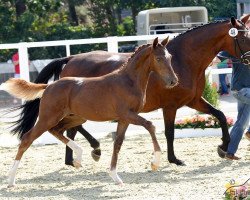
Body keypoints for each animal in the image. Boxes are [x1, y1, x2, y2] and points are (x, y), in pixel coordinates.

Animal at [1, 36, 178, 187]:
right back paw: (11, 180)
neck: (128, 81)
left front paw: (115, 177)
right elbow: (150, 125)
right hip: (48, 117)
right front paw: (155, 162)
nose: (173, 81)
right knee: (27, 138)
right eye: (158, 58)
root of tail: (49, 86)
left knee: (57, 130)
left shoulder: (124, 118)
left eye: (170, 57)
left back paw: (79, 157)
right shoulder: (128, 114)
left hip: (75, 117)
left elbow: (117, 144)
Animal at [8, 15, 250, 166]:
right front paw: (174, 159)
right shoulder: (170, 106)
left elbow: (220, 115)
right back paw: (92, 150)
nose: (249, 59)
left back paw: (75, 157)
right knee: (71, 128)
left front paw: (223, 147)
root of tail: (70, 58)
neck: (183, 59)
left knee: (71, 129)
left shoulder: (193, 100)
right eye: (243, 36)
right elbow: (170, 133)